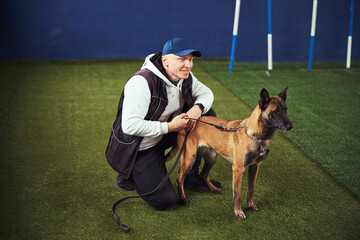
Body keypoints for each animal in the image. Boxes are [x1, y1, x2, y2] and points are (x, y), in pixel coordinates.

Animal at [166, 86, 292, 219]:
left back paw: (214, 189)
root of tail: (188, 120)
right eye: (276, 111)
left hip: (212, 157)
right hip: (189, 158)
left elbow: (251, 188)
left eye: (285, 109)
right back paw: (183, 198)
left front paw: (250, 205)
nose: (291, 126)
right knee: (180, 179)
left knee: (203, 175)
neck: (256, 136)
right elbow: (237, 193)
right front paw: (238, 212)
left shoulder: (255, 167)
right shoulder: (238, 169)